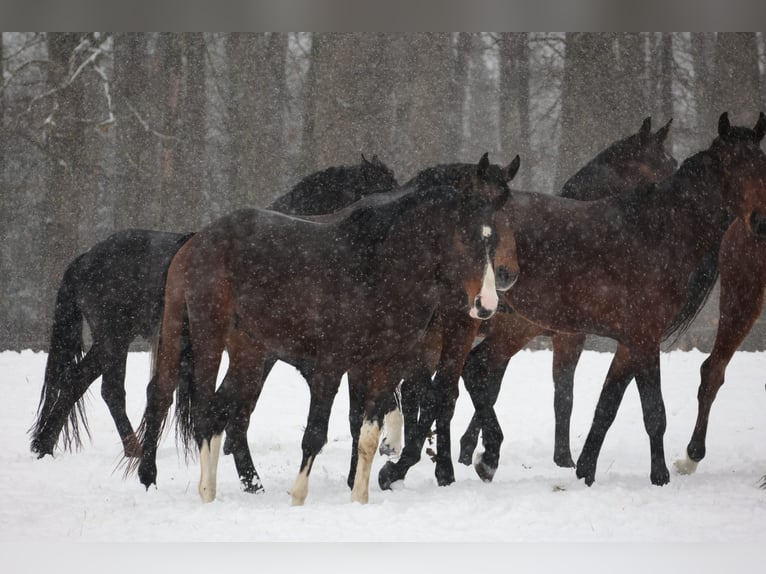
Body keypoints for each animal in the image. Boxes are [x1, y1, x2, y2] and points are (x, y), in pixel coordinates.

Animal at [29, 155, 399, 459]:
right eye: (381, 190)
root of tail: (85, 257)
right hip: (113, 337)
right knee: (107, 389)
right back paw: (126, 448)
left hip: (112, 339)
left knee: (77, 381)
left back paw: (46, 445)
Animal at [130, 158, 515, 505]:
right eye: (463, 239)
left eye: (492, 237)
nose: (487, 302)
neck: (378, 269)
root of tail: (199, 239)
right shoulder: (331, 363)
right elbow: (315, 434)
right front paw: (299, 498)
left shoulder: (383, 365)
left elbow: (368, 434)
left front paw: (360, 496)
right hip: (201, 336)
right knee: (192, 407)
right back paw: (187, 488)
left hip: (250, 353)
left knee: (223, 413)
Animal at [455, 117, 677, 479]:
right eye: (665, 166)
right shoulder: (562, 336)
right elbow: (557, 395)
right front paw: (563, 458)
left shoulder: (553, 336)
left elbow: (545, 392)